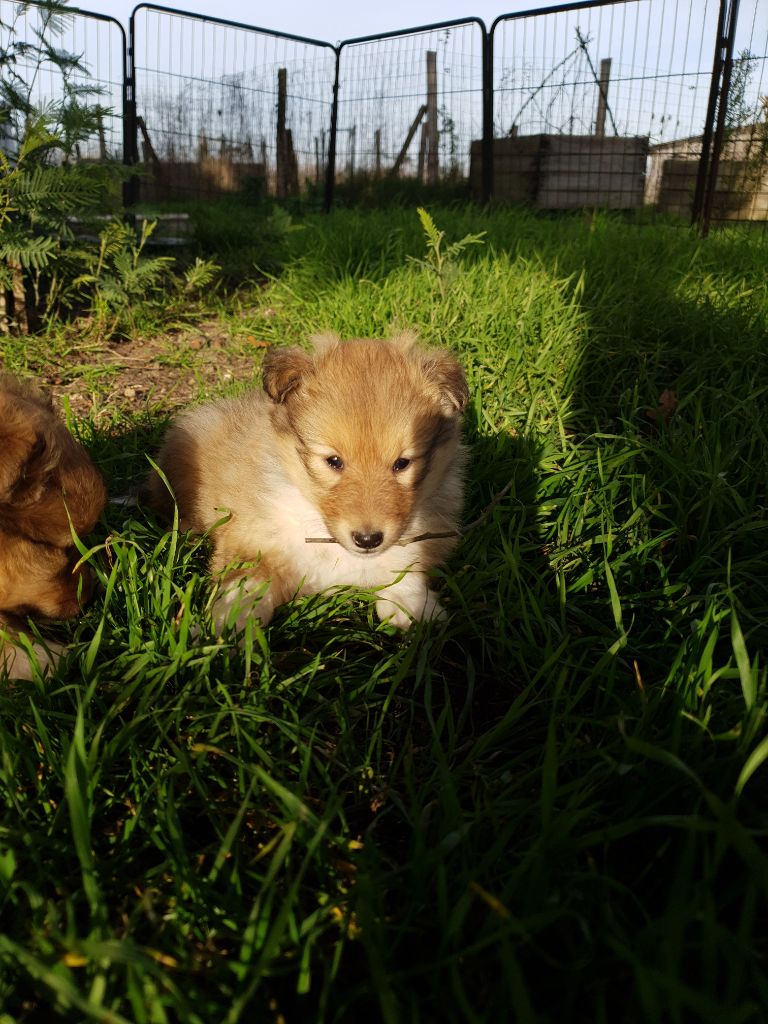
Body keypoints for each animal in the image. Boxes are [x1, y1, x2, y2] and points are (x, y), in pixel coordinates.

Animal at [147, 329, 466, 630]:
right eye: (333, 461)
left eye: (402, 463)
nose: (368, 540)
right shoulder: (250, 538)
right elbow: (247, 582)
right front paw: (230, 622)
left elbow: (404, 569)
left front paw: (414, 608)